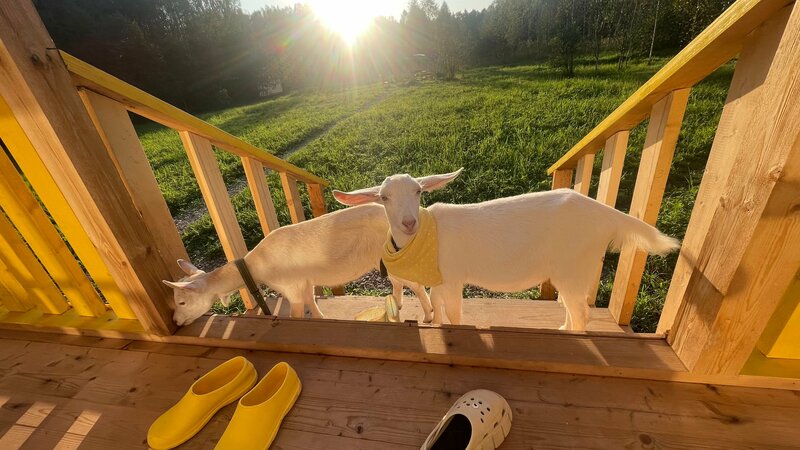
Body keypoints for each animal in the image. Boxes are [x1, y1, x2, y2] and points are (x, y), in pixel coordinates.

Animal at [162, 204, 432, 326]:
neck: (256, 265)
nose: (175, 321)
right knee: (400, 282)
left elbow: (296, 313)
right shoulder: (305, 281)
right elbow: (312, 302)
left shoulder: (290, 287)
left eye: (182, 301)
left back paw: (429, 316)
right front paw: (322, 319)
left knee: (417, 284)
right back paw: (398, 305)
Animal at [333, 169, 680, 330]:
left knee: (582, 313)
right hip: (571, 271)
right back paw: (561, 330)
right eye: (384, 197)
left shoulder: (453, 278)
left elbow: (454, 314)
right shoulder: (439, 283)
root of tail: (607, 215)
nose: (408, 223)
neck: (425, 240)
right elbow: (439, 309)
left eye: (418, 191)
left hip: (573, 264)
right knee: (574, 308)